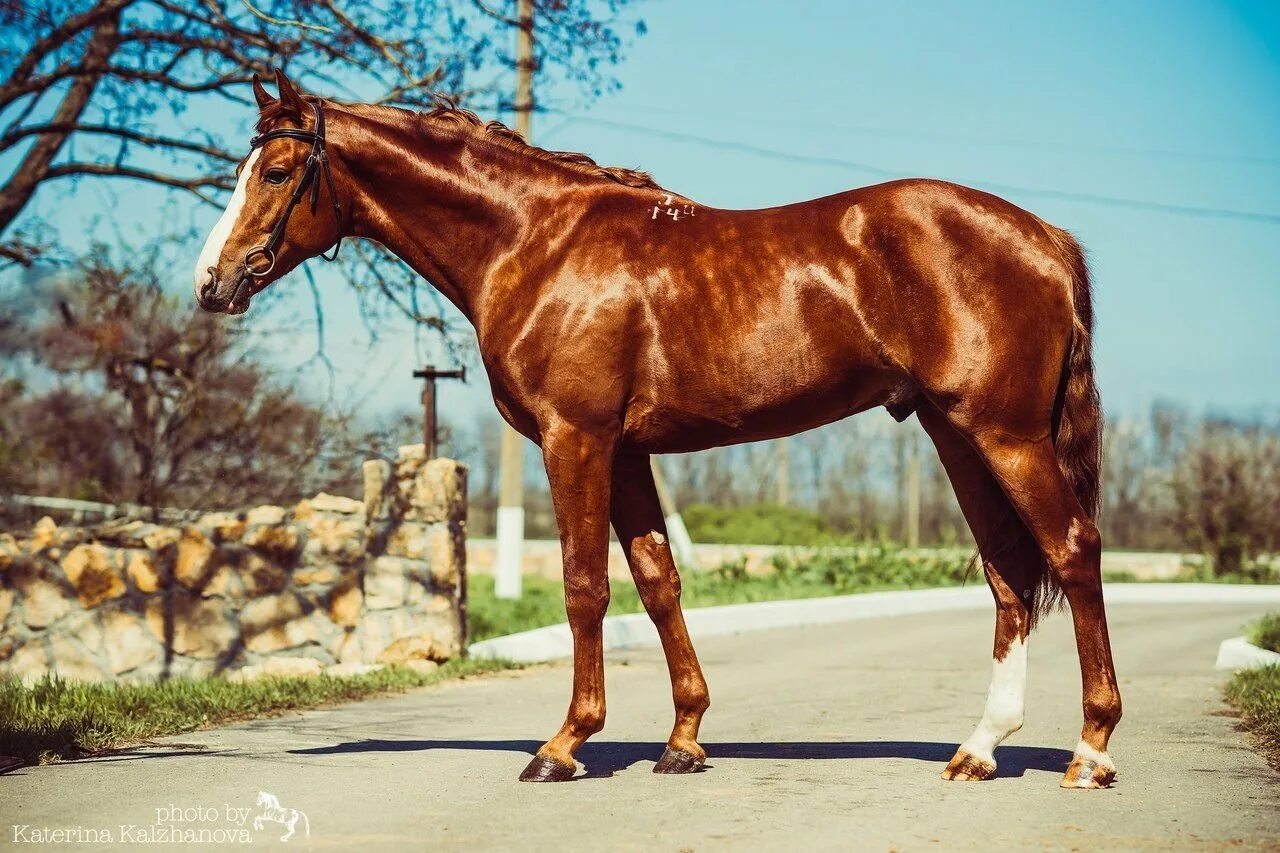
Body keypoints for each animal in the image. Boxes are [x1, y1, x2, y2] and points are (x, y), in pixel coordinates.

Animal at [192, 73, 1121, 783]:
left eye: (277, 171)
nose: (211, 281)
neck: (537, 241)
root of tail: (1046, 237)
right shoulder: (630, 452)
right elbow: (658, 581)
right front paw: (683, 740)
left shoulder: (576, 439)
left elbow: (585, 585)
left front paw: (563, 744)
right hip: (955, 434)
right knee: (1008, 574)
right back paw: (980, 748)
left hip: (1005, 436)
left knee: (1073, 550)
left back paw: (1090, 749)